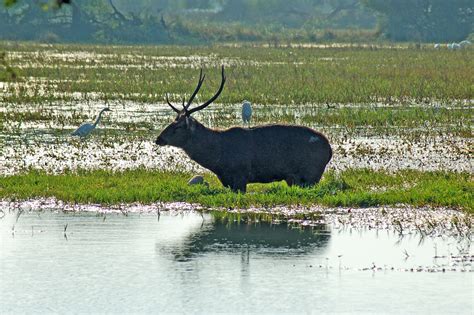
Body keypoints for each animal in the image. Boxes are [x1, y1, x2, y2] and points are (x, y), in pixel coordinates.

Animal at [156, 66, 334, 193]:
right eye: (173, 120)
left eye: (178, 126)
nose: (158, 139)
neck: (216, 157)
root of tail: (329, 149)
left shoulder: (240, 177)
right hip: (294, 179)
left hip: (311, 176)